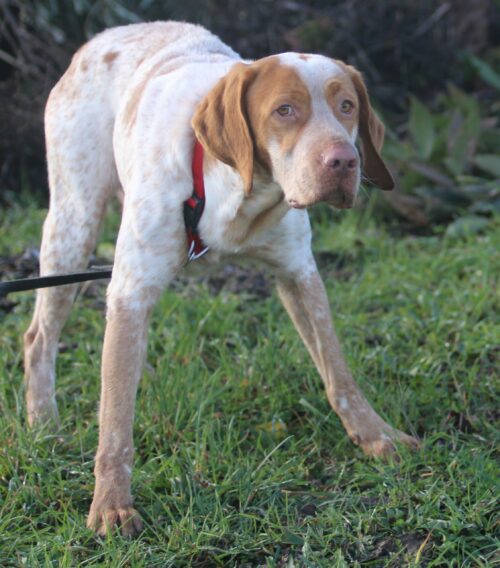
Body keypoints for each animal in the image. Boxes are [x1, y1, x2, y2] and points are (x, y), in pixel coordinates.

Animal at [23, 21, 419, 536]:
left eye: (347, 106)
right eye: (284, 110)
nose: (343, 162)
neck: (237, 195)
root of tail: (102, 37)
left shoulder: (299, 273)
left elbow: (339, 375)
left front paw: (375, 435)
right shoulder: (130, 292)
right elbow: (116, 420)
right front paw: (111, 504)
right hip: (72, 226)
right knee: (39, 338)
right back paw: (44, 427)